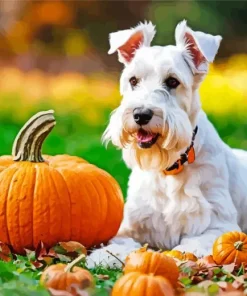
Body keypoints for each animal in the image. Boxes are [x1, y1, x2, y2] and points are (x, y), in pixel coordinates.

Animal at [86, 19, 247, 268]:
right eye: (133, 80)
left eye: (173, 81)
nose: (141, 114)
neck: (169, 168)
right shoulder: (131, 225)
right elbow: (121, 241)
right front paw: (105, 255)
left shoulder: (219, 225)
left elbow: (191, 246)